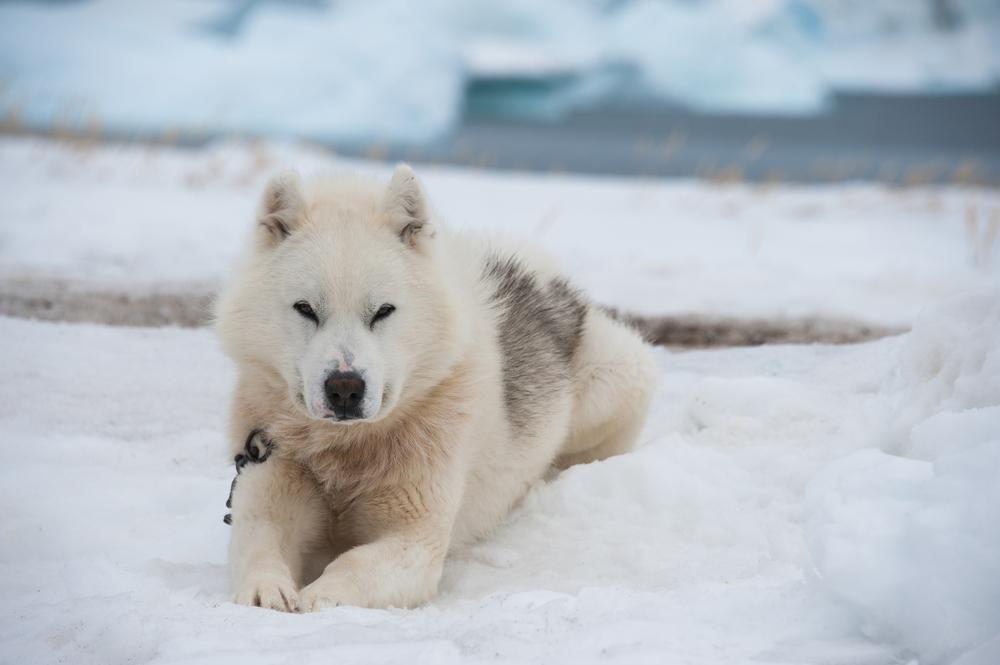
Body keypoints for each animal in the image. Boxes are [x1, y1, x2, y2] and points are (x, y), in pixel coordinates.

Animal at [215, 165, 656, 612]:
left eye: (383, 311)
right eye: (305, 309)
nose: (344, 389)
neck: (347, 452)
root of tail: (547, 279)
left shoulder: (416, 538)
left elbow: (354, 563)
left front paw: (320, 597)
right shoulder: (265, 481)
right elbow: (260, 541)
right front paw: (266, 590)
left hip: (612, 384)